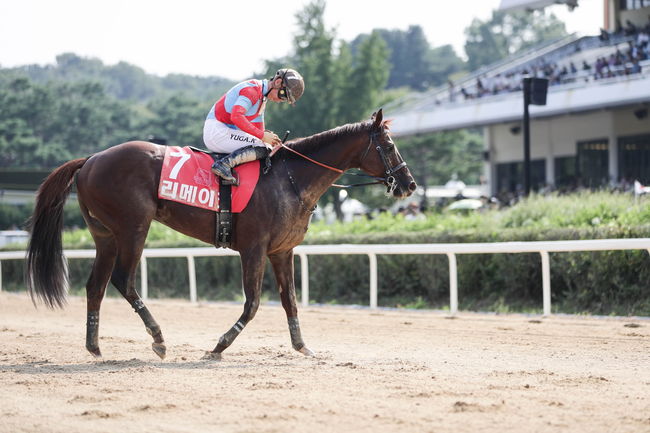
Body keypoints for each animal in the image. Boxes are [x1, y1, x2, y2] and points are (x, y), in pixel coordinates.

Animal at [25, 108, 416, 358]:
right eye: (390, 145)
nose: (409, 184)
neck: (290, 179)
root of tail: (90, 159)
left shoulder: (282, 251)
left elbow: (290, 300)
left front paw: (303, 347)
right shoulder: (253, 248)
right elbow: (253, 303)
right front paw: (220, 345)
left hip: (105, 235)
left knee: (96, 286)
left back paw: (94, 346)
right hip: (133, 228)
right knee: (124, 280)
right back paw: (159, 338)